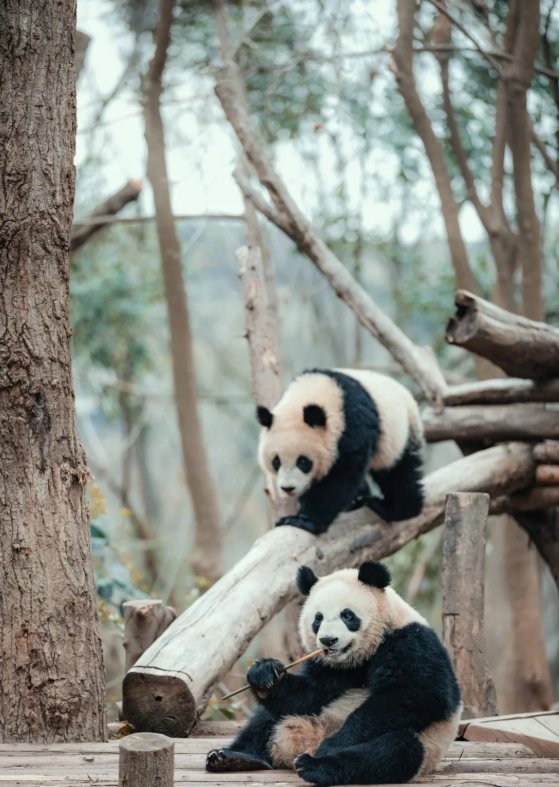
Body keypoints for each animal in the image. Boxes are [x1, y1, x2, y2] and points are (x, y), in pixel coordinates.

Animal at [206, 561, 462, 785]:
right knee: (266, 718)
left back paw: (317, 765)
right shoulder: (328, 666)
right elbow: (311, 693)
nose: (328, 641)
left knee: (394, 749)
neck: (361, 656)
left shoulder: (412, 643)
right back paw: (233, 758)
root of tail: (304, 744)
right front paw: (264, 674)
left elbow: (417, 695)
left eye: (347, 615)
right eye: (317, 619)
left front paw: (335, 744)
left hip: (425, 747)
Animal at [256, 368, 424, 534]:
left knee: (398, 472)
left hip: (398, 435)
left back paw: (396, 508)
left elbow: (342, 477)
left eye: (303, 462)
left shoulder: (353, 425)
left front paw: (303, 521)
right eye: (276, 461)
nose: (288, 488)